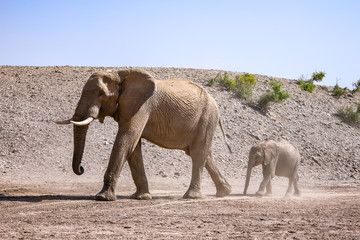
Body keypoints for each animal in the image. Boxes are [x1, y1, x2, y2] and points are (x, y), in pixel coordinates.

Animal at [54, 69, 232, 201]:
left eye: (101, 94)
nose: (81, 168)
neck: (120, 74)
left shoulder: (141, 106)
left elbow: (126, 139)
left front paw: (103, 198)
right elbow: (133, 147)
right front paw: (142, 197)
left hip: (207, 117)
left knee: (198, 152)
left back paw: (192, 196)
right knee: (202, 153)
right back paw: (225, 192)